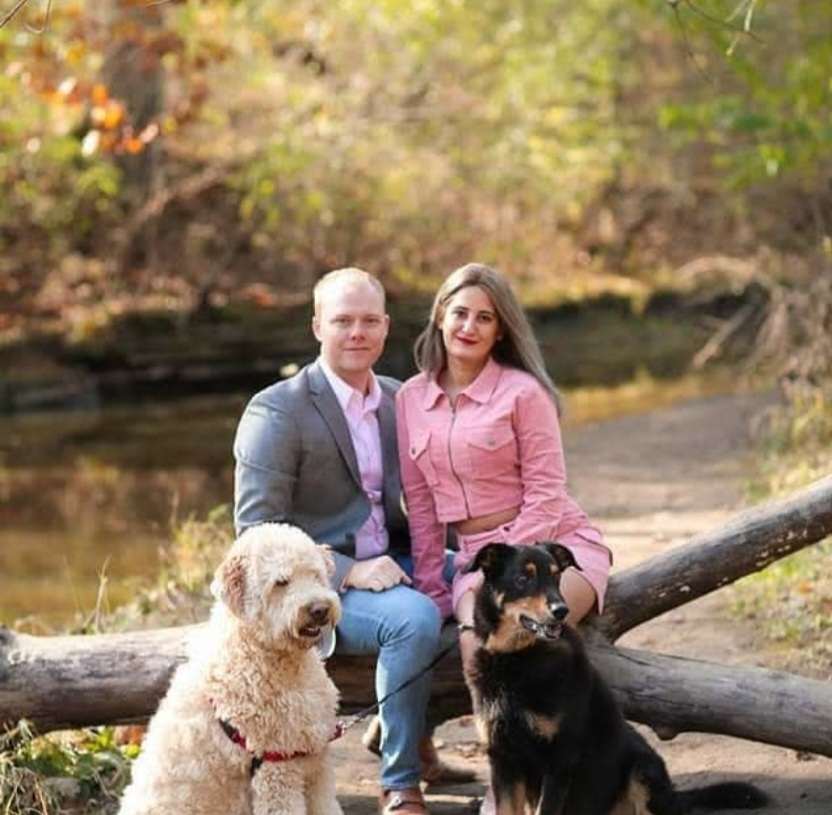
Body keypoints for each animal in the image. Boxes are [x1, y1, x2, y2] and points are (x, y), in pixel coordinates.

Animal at [464, 540, 772, 815]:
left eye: (556, 577)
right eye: (522, 578)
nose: (561, 610)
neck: (516, 658)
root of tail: (675, 795)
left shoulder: (559, 759)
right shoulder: (503, 760)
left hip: (642, 770)